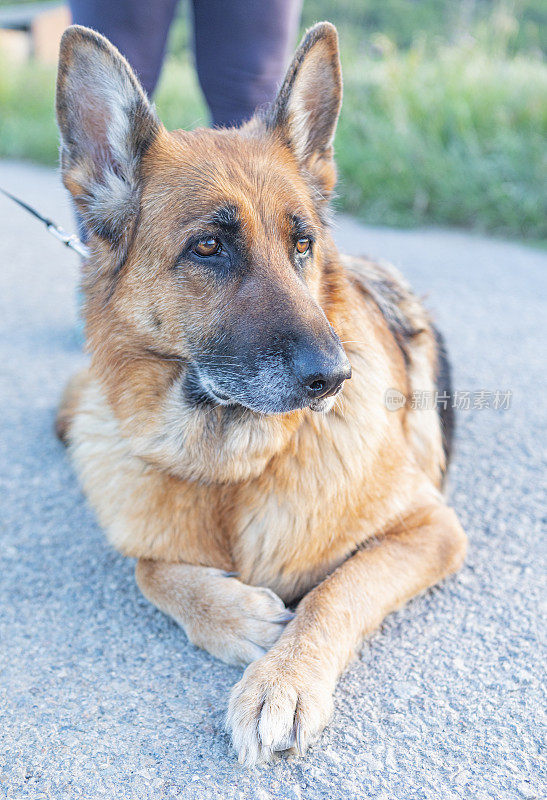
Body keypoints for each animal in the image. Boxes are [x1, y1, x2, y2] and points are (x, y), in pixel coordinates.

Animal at [54, 21, 466, 764]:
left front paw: (284, 679)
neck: (229, 471)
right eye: (208, 247)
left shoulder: (431, 529)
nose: (334, 378)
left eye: (302, 244)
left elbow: (337, 589)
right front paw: (235, 615)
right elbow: (149, 567)